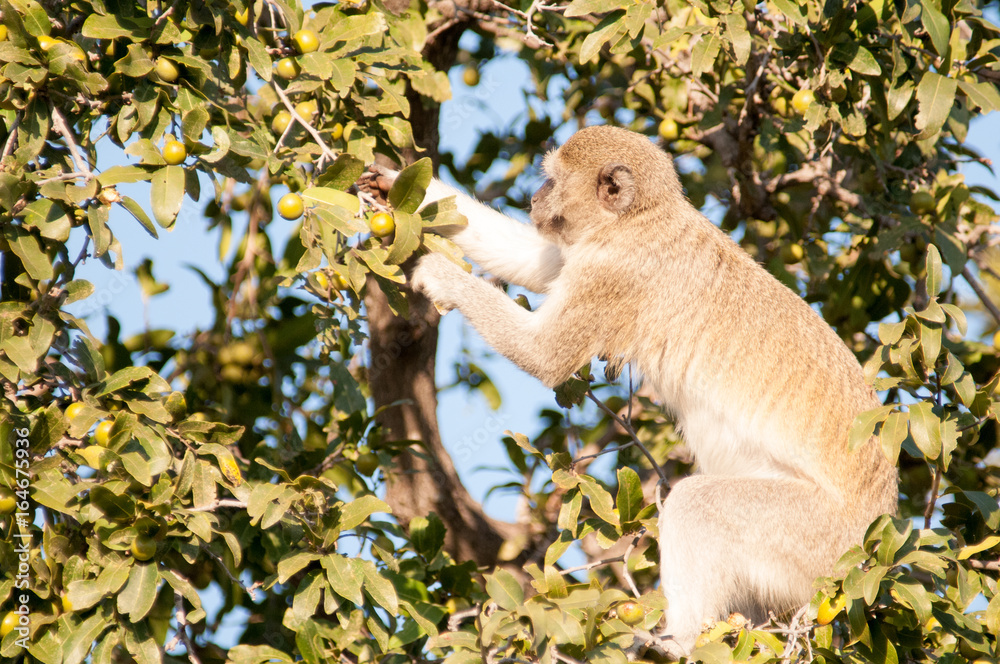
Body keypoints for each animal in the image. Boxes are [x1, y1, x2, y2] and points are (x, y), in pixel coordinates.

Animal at [361, 125, 898, 658]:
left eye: (553, 180)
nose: (534, 199)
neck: (640, 220)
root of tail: (871, 551)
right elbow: (537, 262)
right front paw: (390, 181)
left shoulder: (614, 273)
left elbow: (545, 355)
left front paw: (438, 275)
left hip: (815, 542)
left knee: (699, 504)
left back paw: (680, 641)